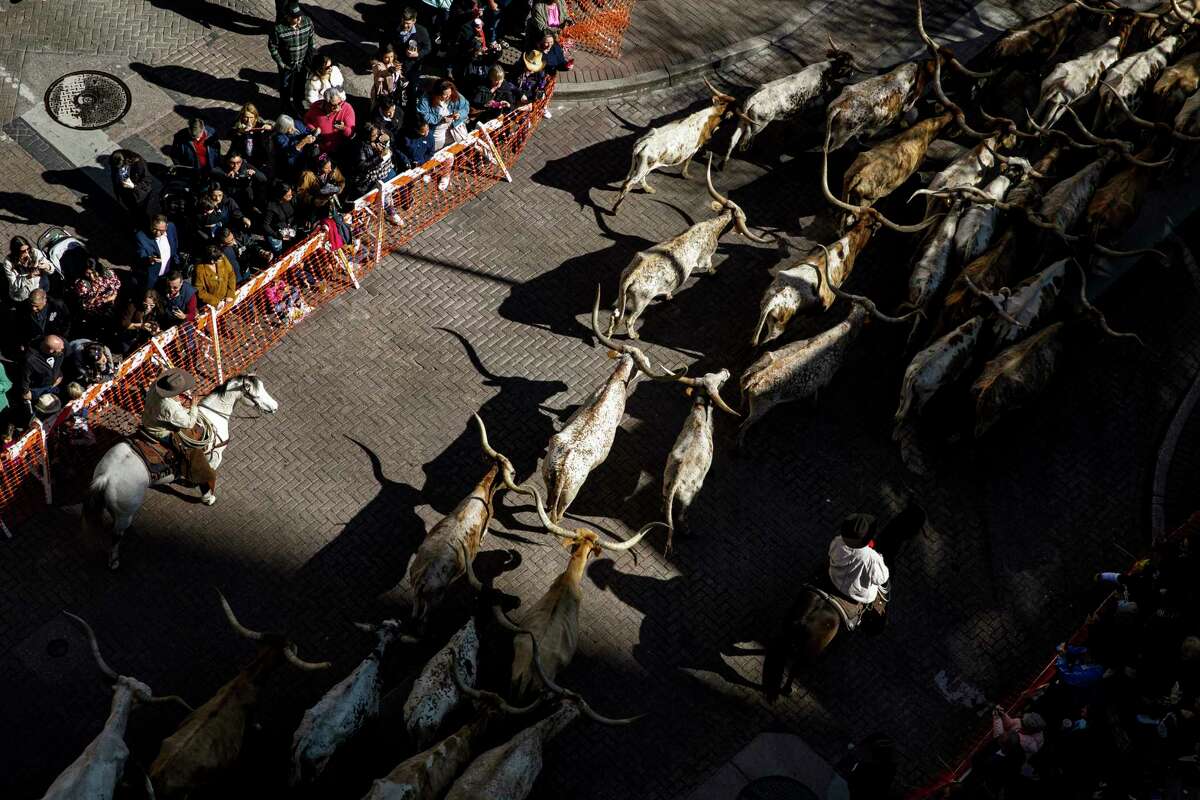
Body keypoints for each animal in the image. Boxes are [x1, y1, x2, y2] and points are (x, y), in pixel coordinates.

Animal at [82, 376, 278, 568]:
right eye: (255, 392)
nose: (275, 407)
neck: (214, 417)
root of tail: (106, 477)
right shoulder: (214, 458)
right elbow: (207, 481)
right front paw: (208, 499)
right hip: (124, 513)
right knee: (116, 536)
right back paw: (114, 560)